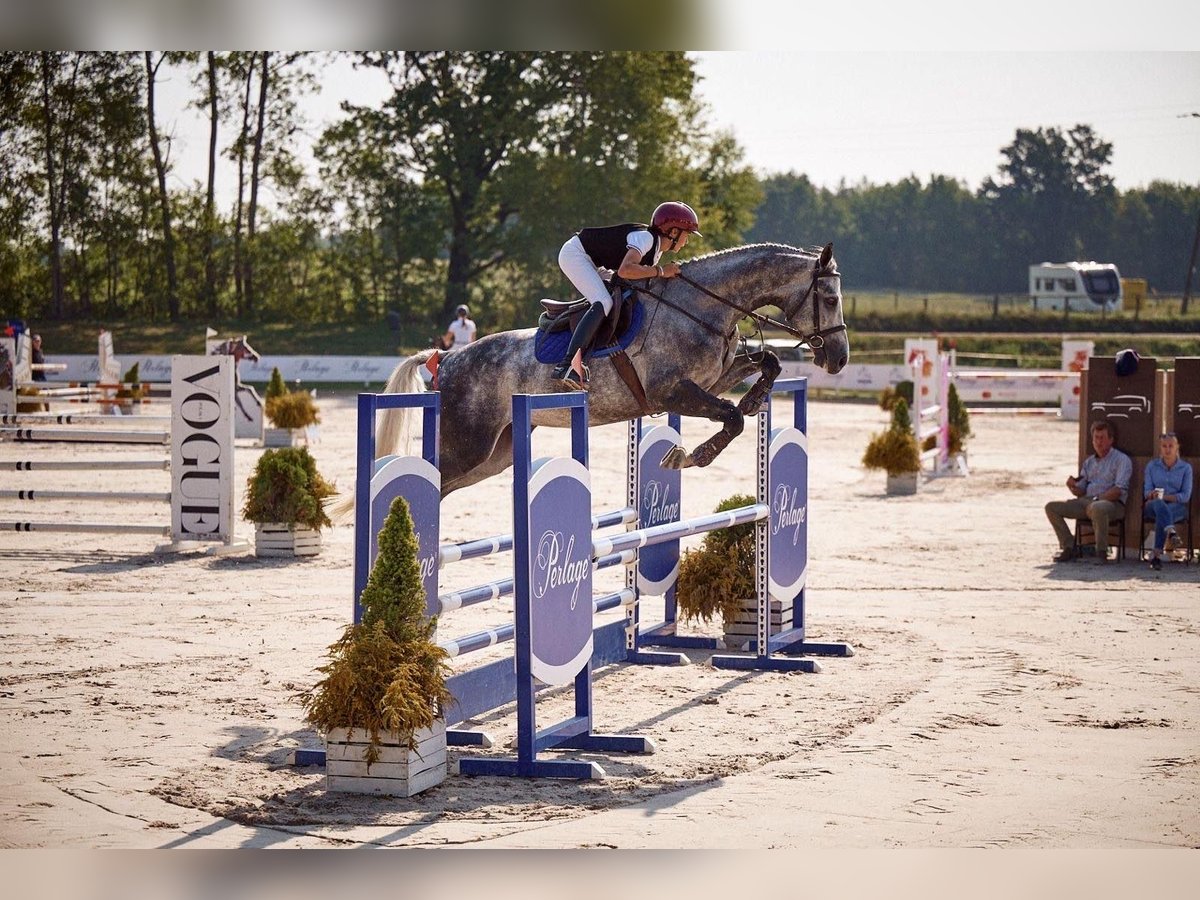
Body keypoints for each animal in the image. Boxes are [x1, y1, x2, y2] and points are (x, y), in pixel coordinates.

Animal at [374, 244, 844, 501]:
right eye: (831, 298)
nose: (839, 359)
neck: (703, 307)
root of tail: (447, 358)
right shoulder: (672, 392)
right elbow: (730, 419)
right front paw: (688, 457)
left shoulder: (713, 379)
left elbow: (768, 365)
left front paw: (752, 399)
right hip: (468, 445)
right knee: (430, 481)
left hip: (496, 454)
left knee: (445, 486)